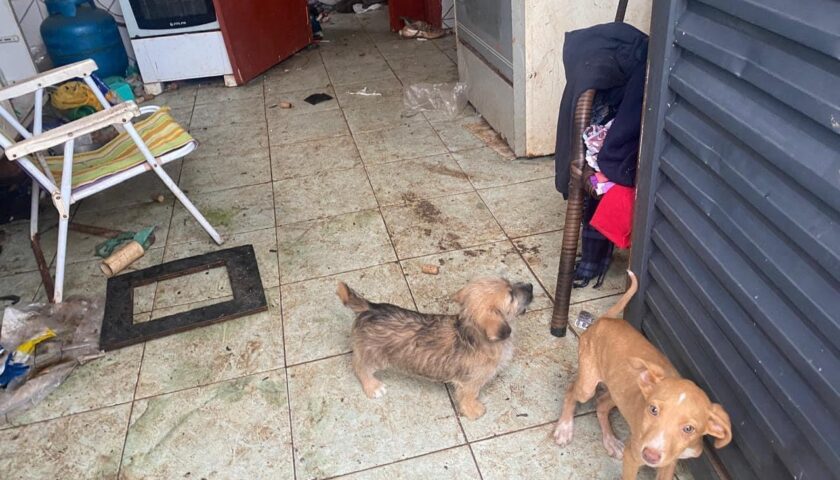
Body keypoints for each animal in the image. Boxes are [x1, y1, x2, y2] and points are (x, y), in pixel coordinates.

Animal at [336, 277, 534, 419]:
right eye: (511, 296)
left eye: (509, 282)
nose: (531, 286)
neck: (472, 333)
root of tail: (370, 308)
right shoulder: (470, 383)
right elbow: (469, 396)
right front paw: (473, 410)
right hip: (374, 355)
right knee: (359, 366)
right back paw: (373, 387)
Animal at [553, 271, 731, 479]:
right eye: (653, 409)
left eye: (689, 429)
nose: (650, 455)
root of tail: (607, 319)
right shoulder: (632, 456)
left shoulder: (668, 463)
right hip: (587, 385)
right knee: (572, 391)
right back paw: (564, 428)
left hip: (618, 390)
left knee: (601, 404)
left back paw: (610, 440)